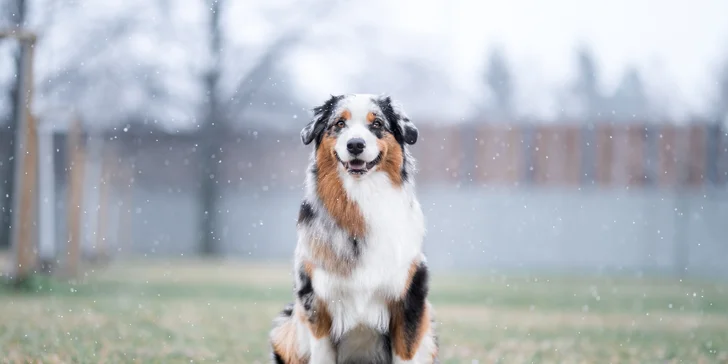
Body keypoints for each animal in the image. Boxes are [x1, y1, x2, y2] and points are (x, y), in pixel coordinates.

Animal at [268, 94, 438, 364]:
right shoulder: (316, 300)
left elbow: (406, 352)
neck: (361, 197)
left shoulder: (410, 297)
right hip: (285, 328)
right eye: (339, 123)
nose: (355, 144)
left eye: (377, 123)